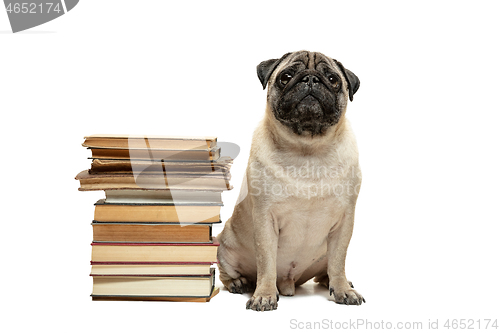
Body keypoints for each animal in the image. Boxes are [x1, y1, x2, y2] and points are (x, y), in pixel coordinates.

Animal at [217, 50, 366, 310]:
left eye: (333, 79)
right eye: (286, 77)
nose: (311, 79)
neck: (307, 150)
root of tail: (290, 282)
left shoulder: (344, 222)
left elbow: (339, 261)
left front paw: (343, 290)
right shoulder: (265, 221)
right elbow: (266, 262)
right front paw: (264, 295)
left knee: (328, 270)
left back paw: (337, 282)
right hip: (224, 246)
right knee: (229, 273)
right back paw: (239, 283)